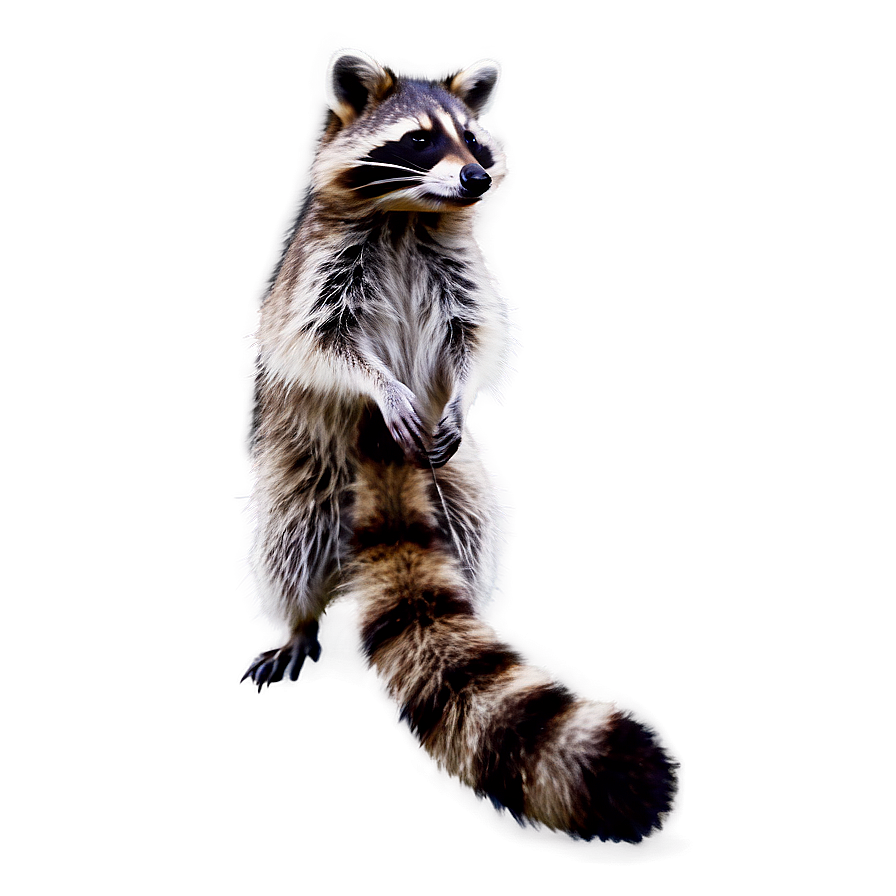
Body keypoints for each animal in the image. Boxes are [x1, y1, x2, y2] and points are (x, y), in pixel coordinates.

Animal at [242, 49, 679, 842]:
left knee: (467, 523)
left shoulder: (464, 277)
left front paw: (462, 394)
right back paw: (299, 617)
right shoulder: (311, 272)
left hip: (457, 478)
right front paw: (380, 383)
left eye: (474, 141)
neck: (410, 214)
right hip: (304, 462)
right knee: (294, 531)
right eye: (418, 141)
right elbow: (315, 344)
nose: (477, 178)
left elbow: (476, 339)